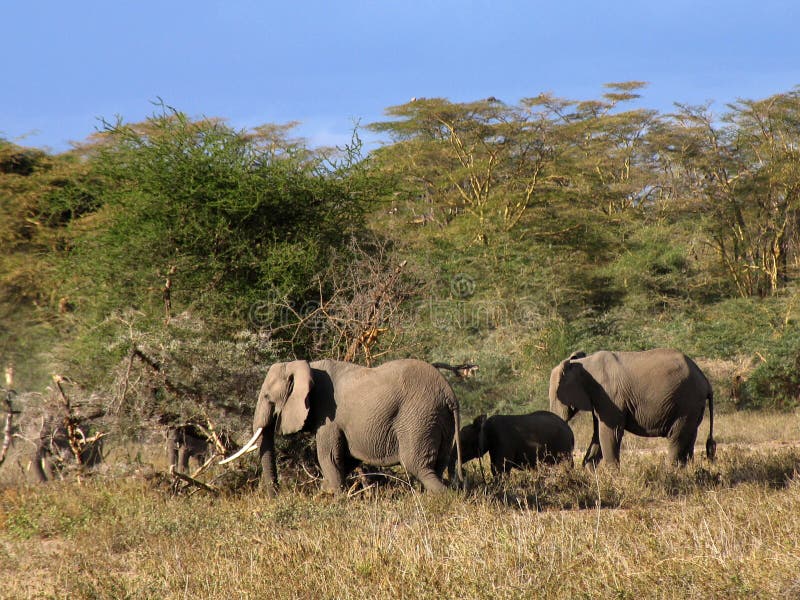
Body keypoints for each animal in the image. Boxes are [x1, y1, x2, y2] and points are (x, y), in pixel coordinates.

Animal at [222, 358, 466, 494]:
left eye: (267, 397)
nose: (275, 494)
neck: (305, 365)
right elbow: (345, 460)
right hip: (437, 419)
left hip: (417, 417)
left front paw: (333, 496)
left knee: (417, 465)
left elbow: (329, 456)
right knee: (437, 465)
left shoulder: (328, 416)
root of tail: (449, 393)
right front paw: (325, 493)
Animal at [548, 346, 716, 468]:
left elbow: (610, 432)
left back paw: (671, 473)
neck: (582, 363)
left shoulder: (609, 395)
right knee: (689, 437)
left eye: (556, 397)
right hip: (693, 406)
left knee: (676, 437)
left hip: (686, 403)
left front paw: (612, 475)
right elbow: (597, 435)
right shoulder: (599, 398)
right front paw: (590, 472)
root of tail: (706, 381)